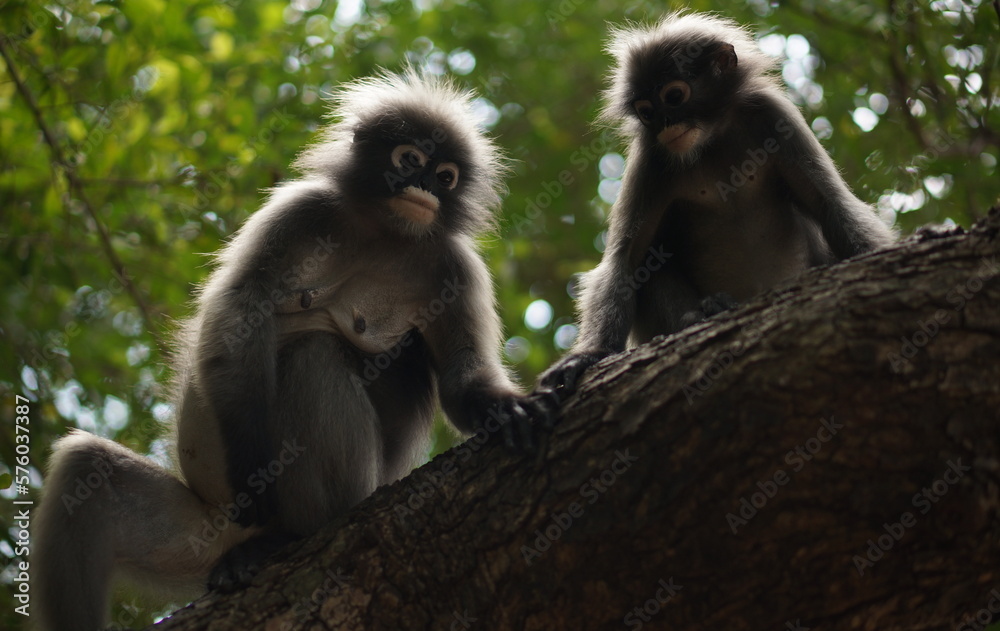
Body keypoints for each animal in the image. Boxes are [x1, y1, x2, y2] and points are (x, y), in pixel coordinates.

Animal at [33, 70, 540, 631]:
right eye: (410, 159)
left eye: (446, 176)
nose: (425, 188)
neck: (382, 231)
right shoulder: (304, 210)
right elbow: (241, 305)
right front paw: (251, 458)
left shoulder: (455, 267)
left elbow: (460, 381)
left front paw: (502, 409)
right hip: (201, 532)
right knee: (86, 469)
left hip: (348, 493)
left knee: (314, 355)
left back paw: (286, 538)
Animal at [532, 12, 900, 400]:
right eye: (646, 113)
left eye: (674, 96)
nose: (665, 125)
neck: (712, 139)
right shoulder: (652, 156)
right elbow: (626, 260)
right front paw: (589, 356)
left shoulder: (773, 116)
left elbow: (831, 204)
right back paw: (706, 313)